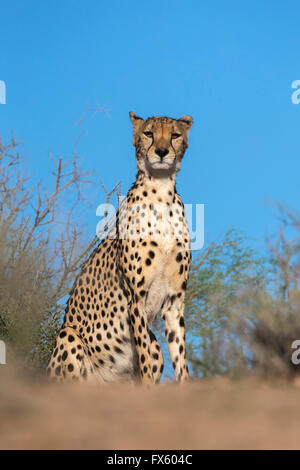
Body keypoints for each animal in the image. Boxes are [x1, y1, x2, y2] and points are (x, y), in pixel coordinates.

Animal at [47, 112, 192, 384]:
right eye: (148, 133)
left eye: (175, 135)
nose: (161, 151)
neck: (161, 194)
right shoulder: (136, 297)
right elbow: (143, 358)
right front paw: (148, 388)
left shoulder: (174, 301)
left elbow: (180, 357)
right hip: (68, 336)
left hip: (156, 348)